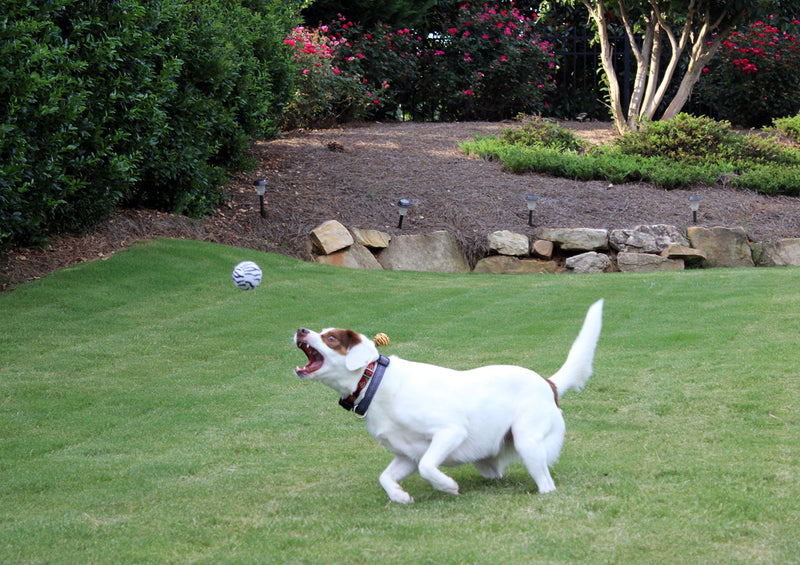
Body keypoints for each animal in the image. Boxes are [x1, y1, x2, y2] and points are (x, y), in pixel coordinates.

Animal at [296, 300, 604, 502]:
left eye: (330, 337)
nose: (300, 330)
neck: (375, 381)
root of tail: (548, 383)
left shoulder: (449, 432)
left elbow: (427, 467)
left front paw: (447, 487)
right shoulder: (406, 455)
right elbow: (386, 477)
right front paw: (399, 496)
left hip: (527, 442)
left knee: (547, 483)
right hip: (489, 459)